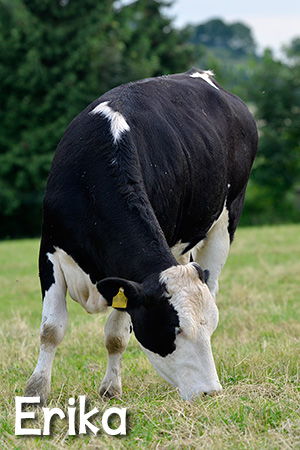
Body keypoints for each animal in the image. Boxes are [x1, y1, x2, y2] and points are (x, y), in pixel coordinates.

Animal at [25, 68, 258, 402]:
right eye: (174, 328)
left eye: (211, 328)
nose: (210, 392)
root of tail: (202, 75)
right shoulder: (50, 252)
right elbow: (51, 329)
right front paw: (37, 391)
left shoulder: (130, 280)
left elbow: (116, 335)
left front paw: (111, 389)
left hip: (226, 221)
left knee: (212, 282)